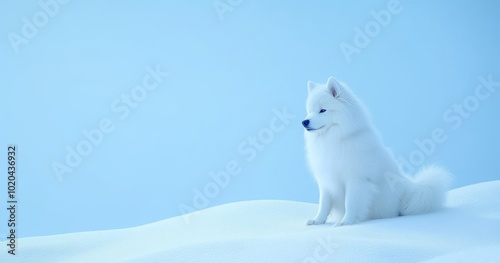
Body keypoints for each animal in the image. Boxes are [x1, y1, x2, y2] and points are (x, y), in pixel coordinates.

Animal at [302, 77, 452, 227]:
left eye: (322, 110)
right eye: (310, 111)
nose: (304, 122)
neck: (335, 139)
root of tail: (408, 188)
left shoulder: (356, 180)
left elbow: (350, 203)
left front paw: (346, 222)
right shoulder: (326, 180)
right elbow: (324, 204)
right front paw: (317, 220)